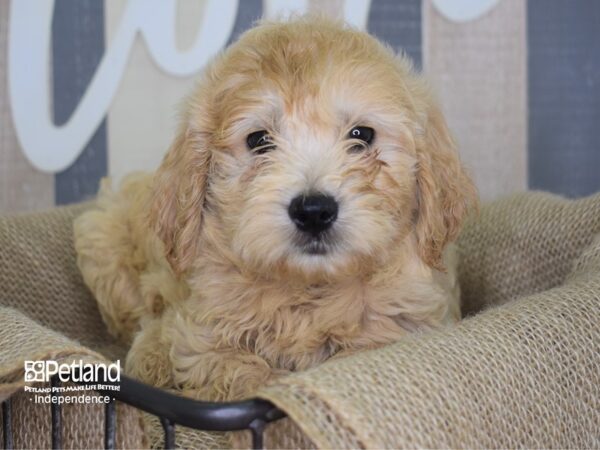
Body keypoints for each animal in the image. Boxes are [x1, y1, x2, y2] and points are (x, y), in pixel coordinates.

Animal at [75, 15, 478, 400]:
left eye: (361, 135)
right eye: (259, 140)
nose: (313, 211)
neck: (308, 288)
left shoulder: (411, 323)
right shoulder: (198, 335)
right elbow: (239, 370)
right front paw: (158, 357)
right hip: (103, 242)